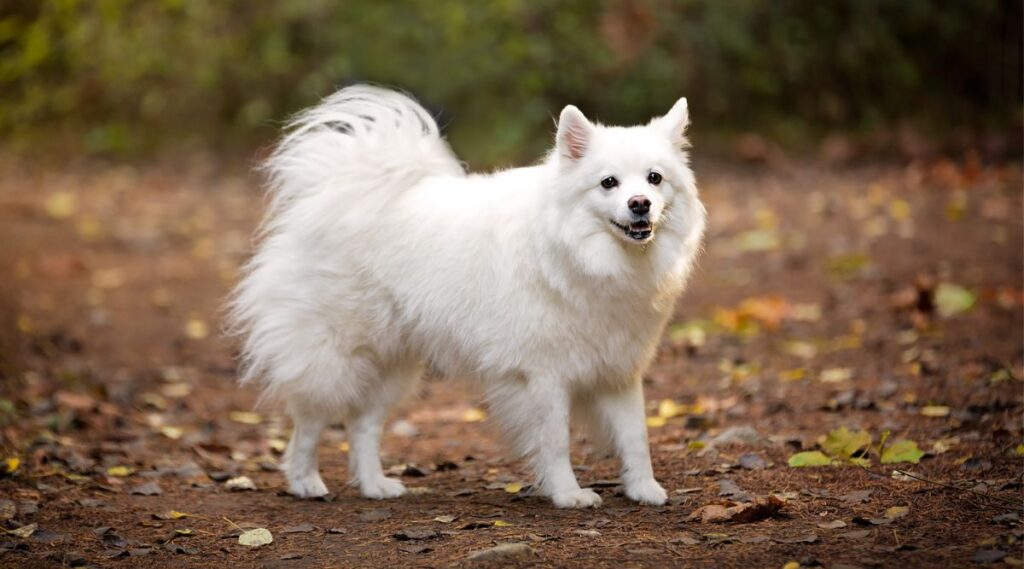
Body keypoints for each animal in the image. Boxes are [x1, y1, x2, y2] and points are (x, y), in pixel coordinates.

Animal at [226, 86, 704, 509]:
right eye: (608, 183)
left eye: (655, 179)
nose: (640, 203)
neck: (584, 255)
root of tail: (332, 194)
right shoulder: (542, 375)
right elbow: (555, 440)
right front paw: (568, 494)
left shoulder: (620, 370)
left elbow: (636, 436)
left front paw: (644, 489)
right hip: (336, 354)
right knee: (309, 420)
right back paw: (305, 482)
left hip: (395, 363)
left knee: (363, 424)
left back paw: (375, 485)